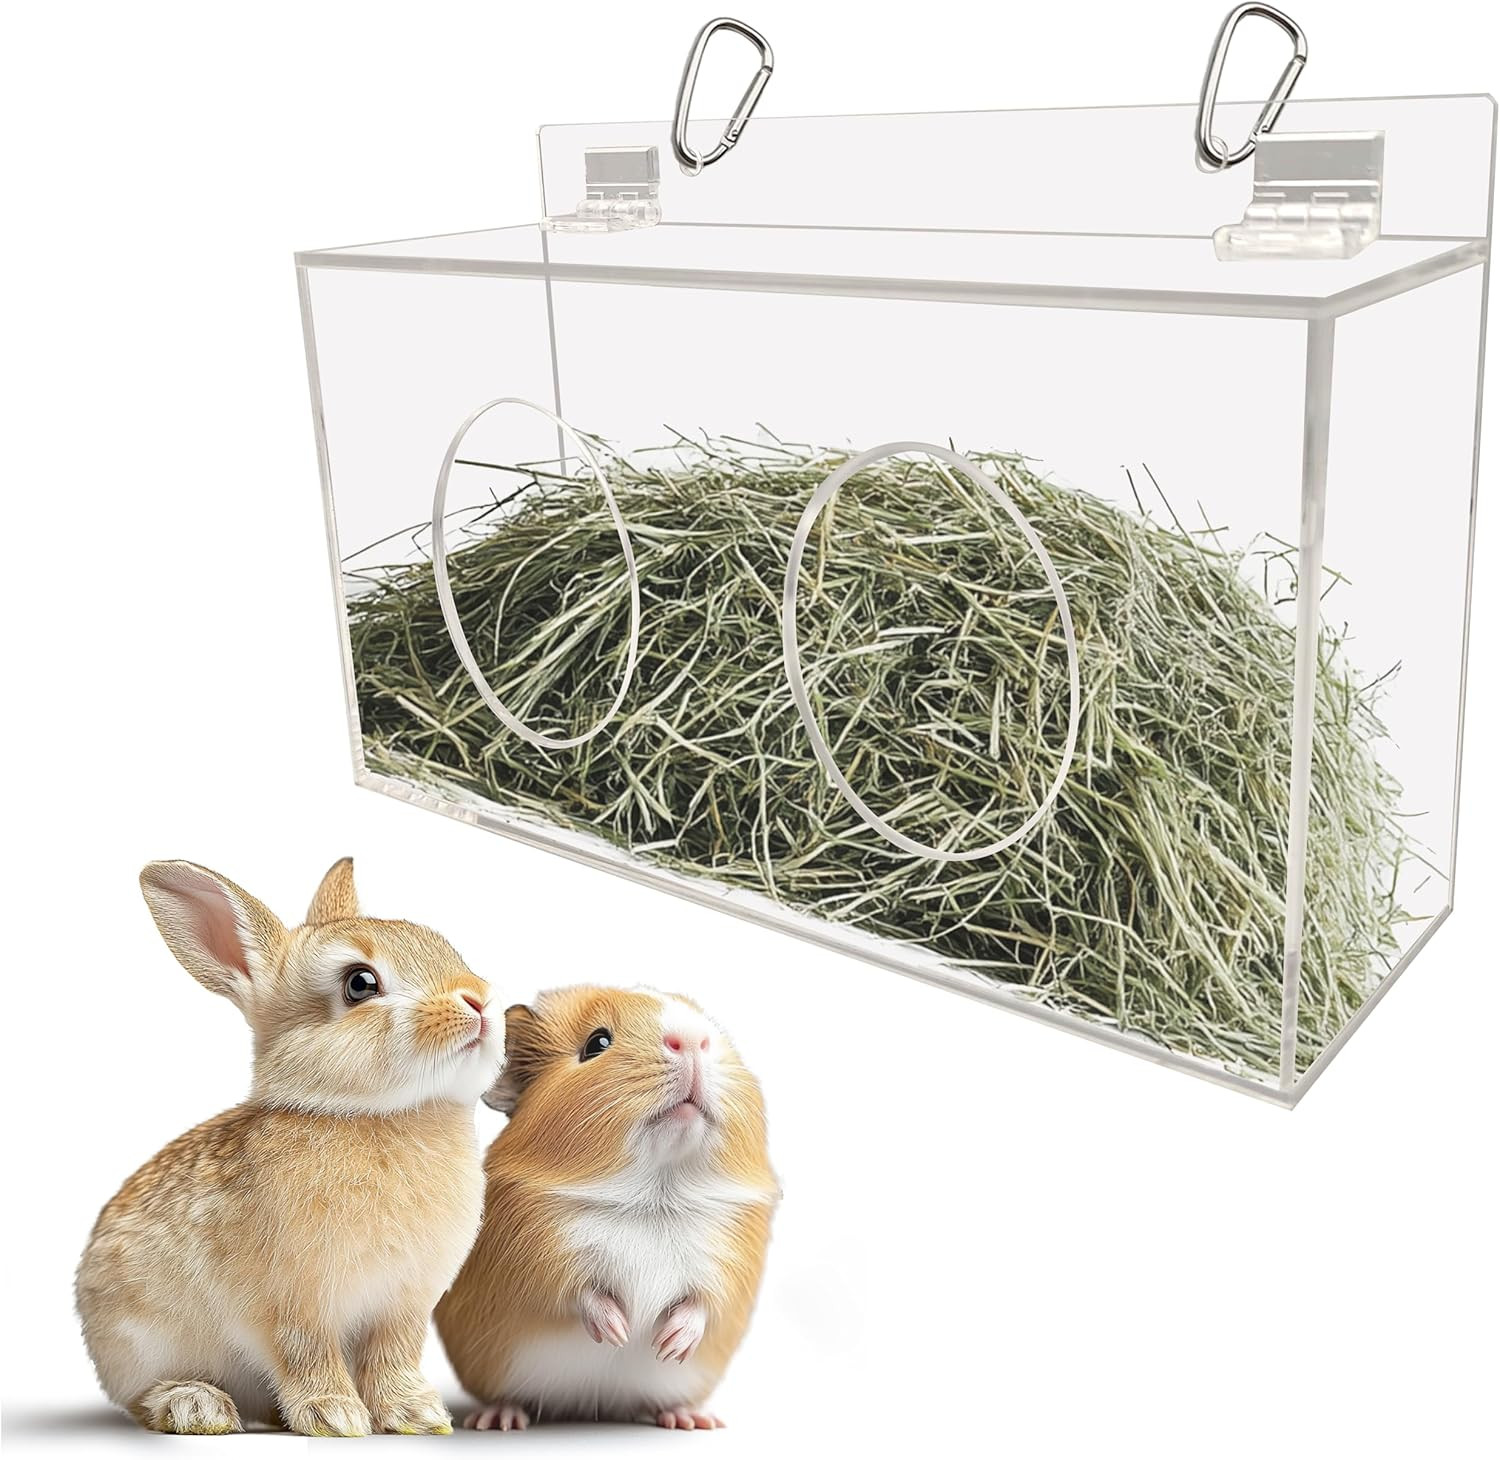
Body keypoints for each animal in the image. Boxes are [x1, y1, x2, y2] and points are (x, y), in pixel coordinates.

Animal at [75, 857, 503, 1435]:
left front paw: (416, 1414)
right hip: (139, 1344)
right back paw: (196, 1406)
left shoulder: (403, 1304)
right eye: (360, 984)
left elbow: (392, 1355)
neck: (373, 1113)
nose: (479, 999)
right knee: (143, 1398)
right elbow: (305, 1353)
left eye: (445, 946)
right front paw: (336, 1417)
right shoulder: (291, 1303)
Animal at [434, 985, 779, 1432]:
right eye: (596, 1043)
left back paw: (691, 1419)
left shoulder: (730, 1267)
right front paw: (618, 1332)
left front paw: (668, 1345)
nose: (690, 1040)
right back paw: (497, 1421)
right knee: (508, 1399)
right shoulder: (539, 1259)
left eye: (713, 1033)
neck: (654, 1198)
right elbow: (582, 1296)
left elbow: (701, 1306)